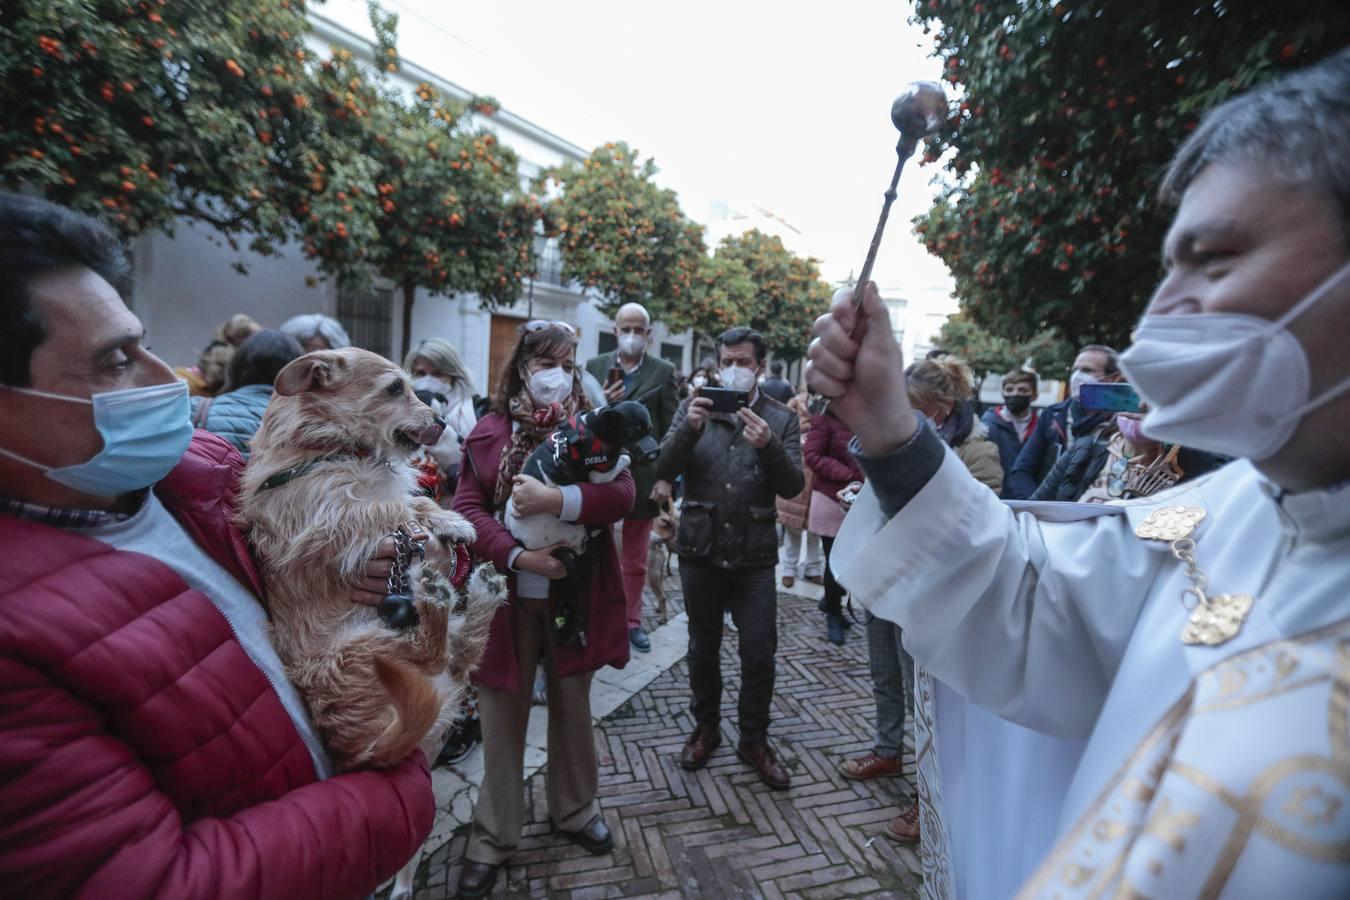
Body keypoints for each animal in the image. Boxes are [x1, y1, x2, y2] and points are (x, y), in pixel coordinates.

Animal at [234, 348, 504, 771]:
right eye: (394, 388)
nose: (442, 422)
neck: (328, 445)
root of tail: (360, 752)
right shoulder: (327, 517)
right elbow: (390, 507)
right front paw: (452, 519)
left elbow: (413, 501)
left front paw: (450, 521)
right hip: (362, 649)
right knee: (433, 655)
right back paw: (436, 598)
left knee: (461, 656)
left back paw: (482, 592)